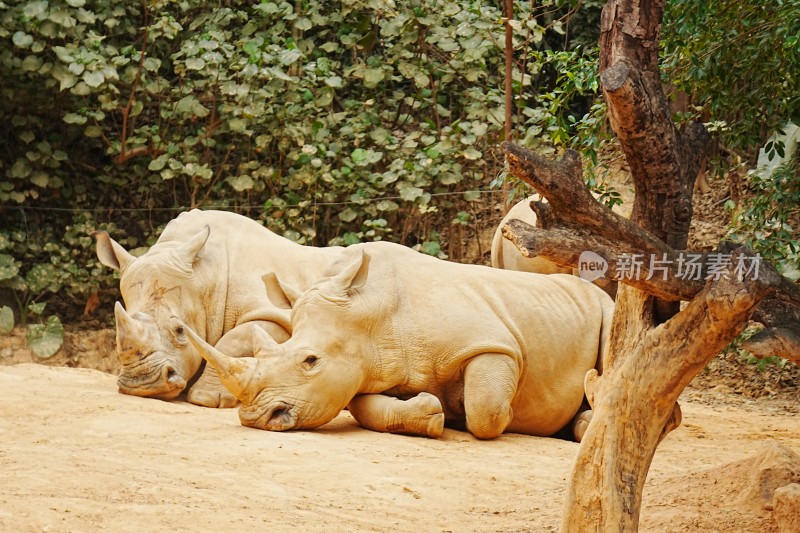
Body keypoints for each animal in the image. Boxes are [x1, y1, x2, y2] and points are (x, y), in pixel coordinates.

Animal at [94, 210, 344, 406]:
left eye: (180, 331)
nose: (142, 382)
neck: (205, 279)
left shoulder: (279, 314)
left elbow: (234, 340)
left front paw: (207, 399)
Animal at [184, 242, 616, 440]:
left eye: (310, 361)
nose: (256, 418)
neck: (373, 318)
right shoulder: (368, 367)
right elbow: (365, 408)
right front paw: (434, 413)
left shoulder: (494, 345)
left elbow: (486, 410)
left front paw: (507, 416)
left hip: (605, 306)